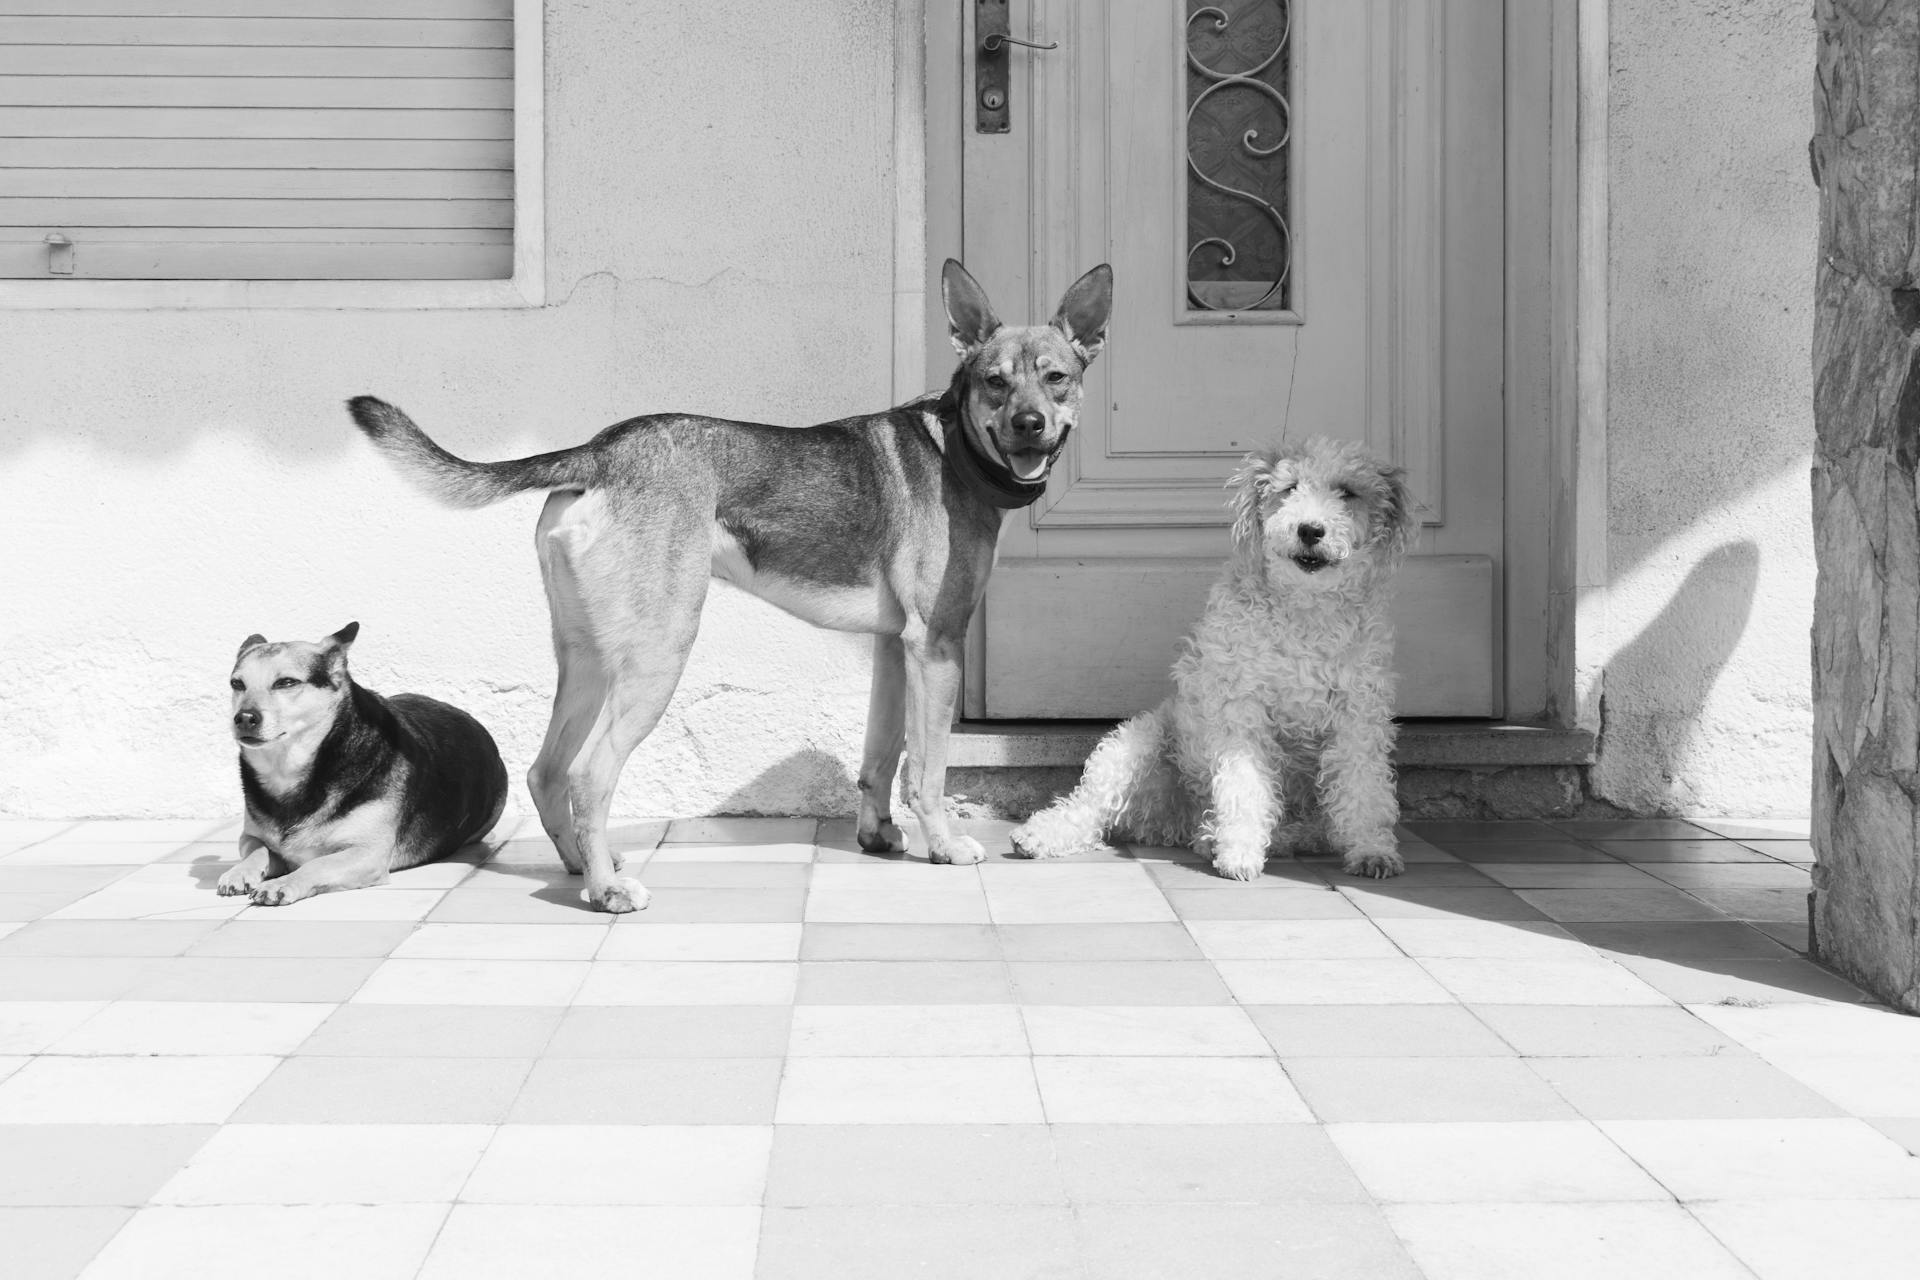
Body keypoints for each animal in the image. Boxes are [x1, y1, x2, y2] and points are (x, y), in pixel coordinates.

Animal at [221, 625, 510, 905]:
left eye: (286, 682)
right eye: (237, 684)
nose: (244, 718)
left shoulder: (366, 854)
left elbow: (317, 864)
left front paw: (282, 884)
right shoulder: (251, 836)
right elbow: (257, 848)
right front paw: (239, 872)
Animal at [353, 260, 1121, 909]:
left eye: (1056, 378)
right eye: (995, 381)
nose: (1030, 425)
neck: (959, 449)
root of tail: (600, 451)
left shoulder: (890, 648)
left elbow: (879, 756)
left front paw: (878, 837)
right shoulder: (935, 647)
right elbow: (928, 767)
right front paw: (946, 846)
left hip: (589, 658)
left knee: (547, 771)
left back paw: (583, 870)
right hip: (658, 654)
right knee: (588, 774)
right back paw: (609, 891)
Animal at [1013, 437, 1420, 882]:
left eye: (1347, 492)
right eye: (1290, 487)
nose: (1310, 529)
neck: (1304, 612)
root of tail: (1177, 822)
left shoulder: (1359, 715)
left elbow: (1364, 786)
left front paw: (1372, 851)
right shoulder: (1242, 710)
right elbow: (1244, 786)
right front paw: (1239, 852)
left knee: (1304, 828)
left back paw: (1219, 838)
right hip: (1134, 744)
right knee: (1089, 807)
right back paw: (1041, 836)